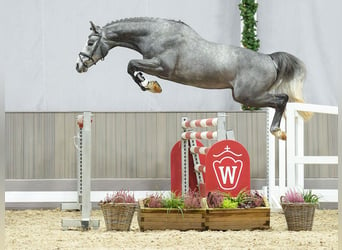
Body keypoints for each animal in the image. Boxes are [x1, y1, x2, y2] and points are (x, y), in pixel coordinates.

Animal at [76, 16, 312, 140]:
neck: (155, 34)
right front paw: (149, 85)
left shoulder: (162, 67)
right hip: (249, 96)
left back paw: (278, 131)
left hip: (247, 96)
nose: (79, 66)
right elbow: (131, 67)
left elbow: (131, 65)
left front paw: (150, 85)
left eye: (90, 42)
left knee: (282, 99)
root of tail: (269, 59)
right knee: (281, 100)